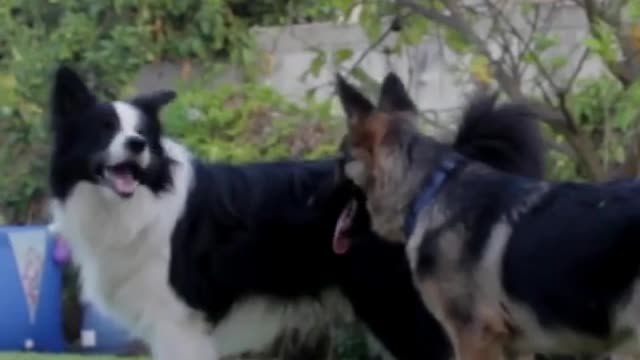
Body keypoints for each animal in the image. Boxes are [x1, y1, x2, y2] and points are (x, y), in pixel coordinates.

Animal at [46, 65, 544, 360]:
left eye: (142, 135)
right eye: (104, 129)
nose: (136, 146)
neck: (138, 204)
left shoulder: (178, 323)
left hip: (401, 312)